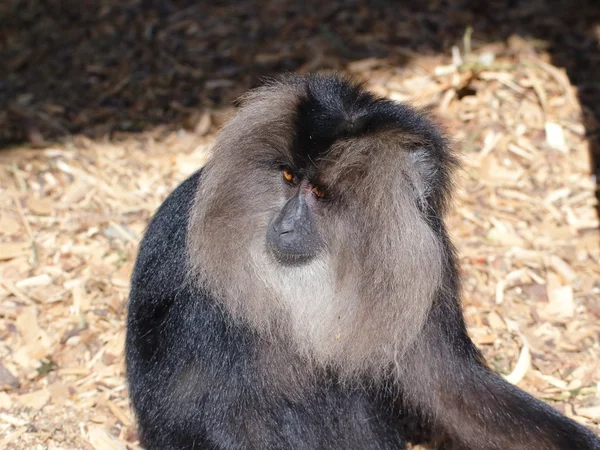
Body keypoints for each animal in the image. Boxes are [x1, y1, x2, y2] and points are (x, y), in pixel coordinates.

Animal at [125, 74, 600, 450]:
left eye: (319, 193)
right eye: (288, 178)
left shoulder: (423, 264)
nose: (284, 226)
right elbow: (196, 409)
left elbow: (454, 389)